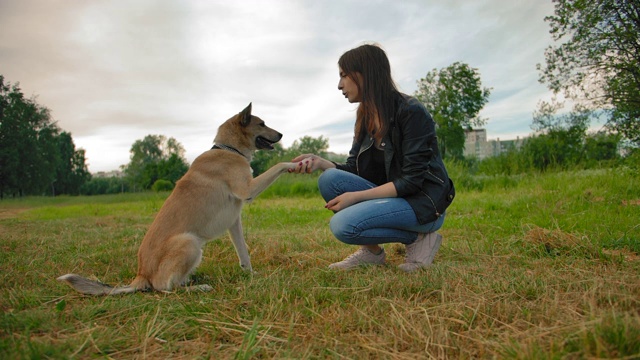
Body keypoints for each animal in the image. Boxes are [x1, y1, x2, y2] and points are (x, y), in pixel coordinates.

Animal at [57, 102, 296, 294]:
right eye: (262, 123)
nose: (282, 135)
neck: (229, 149)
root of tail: (141, 274)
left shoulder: (234, 222)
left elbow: (243, 252)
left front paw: (250, 274)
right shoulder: (248, 189)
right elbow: (278, 165)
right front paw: (294, 163)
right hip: (190, 242)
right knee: (165, 288)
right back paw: (198, 287)